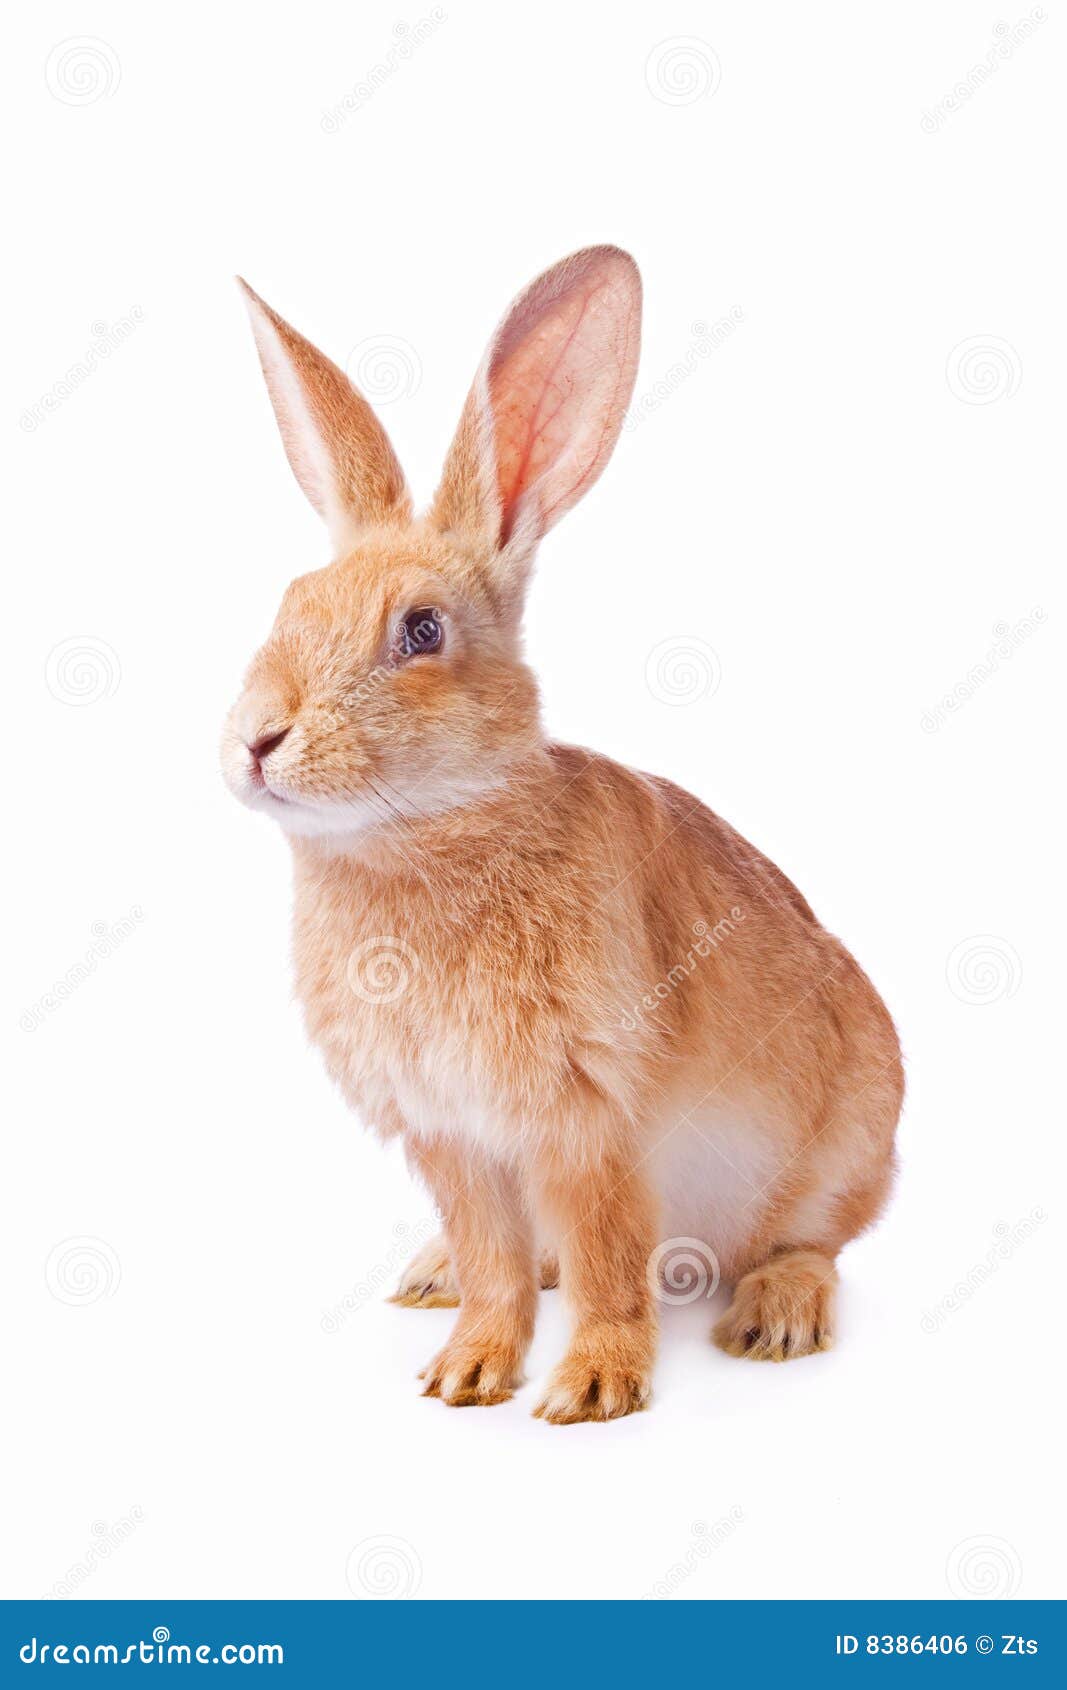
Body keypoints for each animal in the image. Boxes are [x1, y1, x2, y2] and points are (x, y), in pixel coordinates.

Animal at [223, 245, 899, 1419]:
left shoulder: (586, 1118)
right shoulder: (450, 1132)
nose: (258, 739)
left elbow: (603, 1259)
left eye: (421, 630)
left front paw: (588, 1387)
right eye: (290, 603)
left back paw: (775, 1315)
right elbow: (495, 1259)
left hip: (839, 1142)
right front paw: (467, 1370)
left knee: (811, 1240)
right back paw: (431, 1278)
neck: (428, 836)